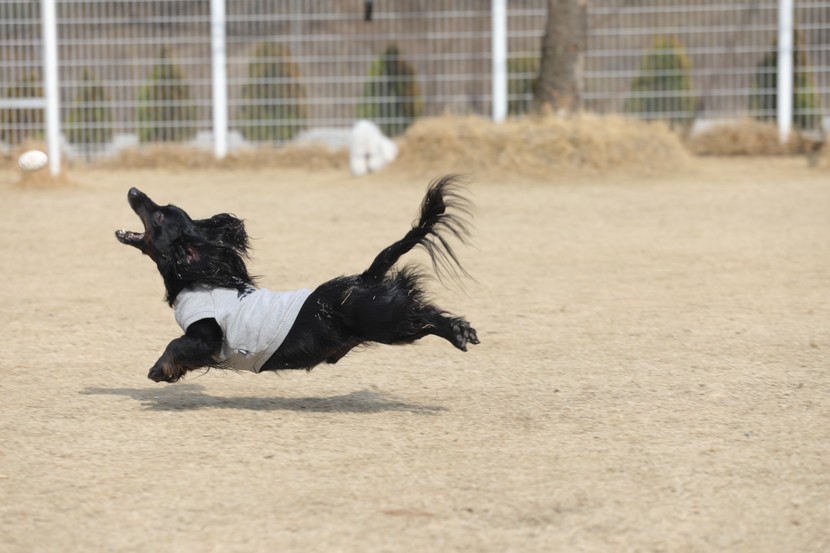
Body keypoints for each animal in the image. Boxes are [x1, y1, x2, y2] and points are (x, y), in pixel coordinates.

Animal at [115, 175, 479, 383]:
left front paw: (159, 370)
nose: (132, 189)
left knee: (425, 316)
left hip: (389, 322)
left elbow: (176, 345)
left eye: (159, 215)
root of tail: (365, 277)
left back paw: (459, 332)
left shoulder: (206, 335)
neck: (203, 278)